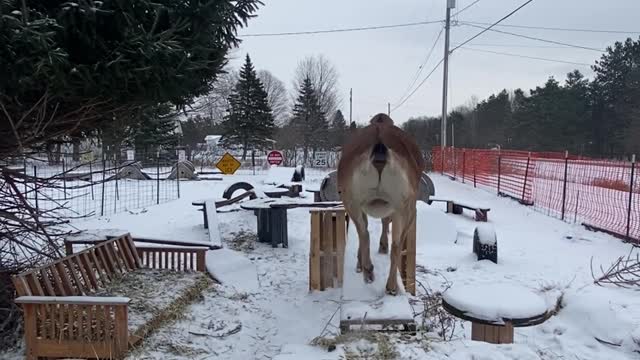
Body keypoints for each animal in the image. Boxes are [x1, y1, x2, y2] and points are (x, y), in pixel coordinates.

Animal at [336, 113, 424, 296]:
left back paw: (369, 271)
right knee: (394, 243)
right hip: (406, 206)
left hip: (352, 200)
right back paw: (385, 282)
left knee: (364, 233)